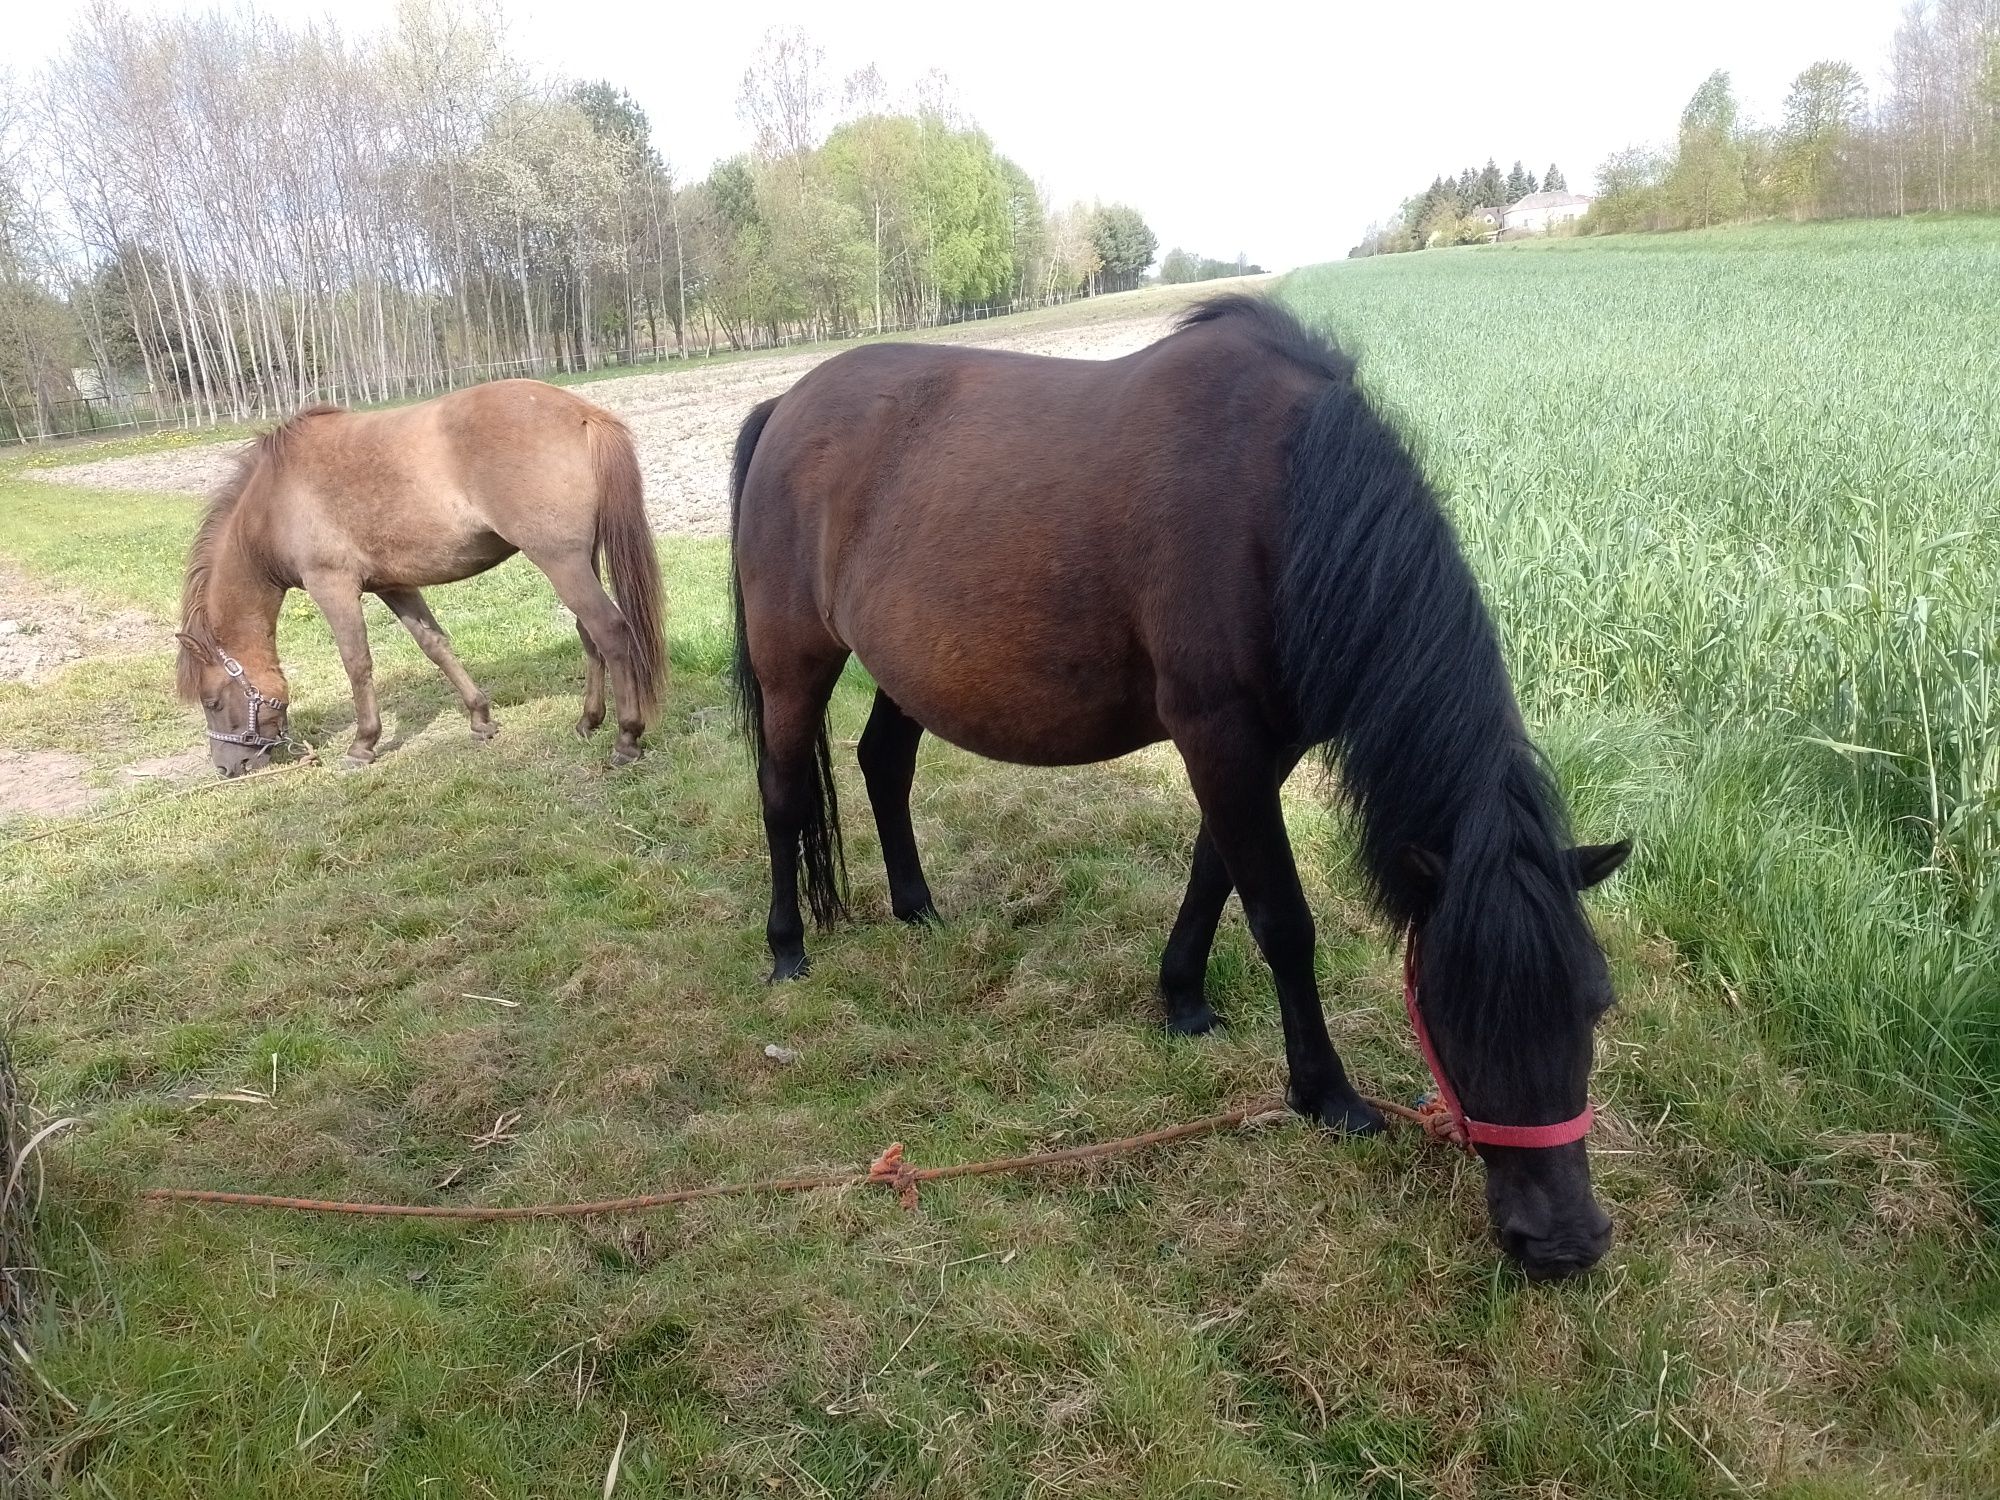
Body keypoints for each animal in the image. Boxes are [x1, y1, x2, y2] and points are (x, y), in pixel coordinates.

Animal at [179, 378, 668, 776]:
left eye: (212, 701)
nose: (225, 767)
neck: (272, 502)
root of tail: (583, 412)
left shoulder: (332, 586)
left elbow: (356, 662)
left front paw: (363, 745)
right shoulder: (394, 586)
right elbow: (435, 645)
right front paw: (480, 719)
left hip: (560, 561)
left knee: (610, 630)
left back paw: (626, 738)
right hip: (579, 561)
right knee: (589, 635)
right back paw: (588, 721)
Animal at [728, 296, 1632, 1280]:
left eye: (1596, 1002)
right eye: (1450, 1008)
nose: (1564, 1242)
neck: (1281, 501)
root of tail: (785, 404)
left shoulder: (1261, 745)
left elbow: (1214, 872)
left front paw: (1184, 1003)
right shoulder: (1220, 734)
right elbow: (1282, 919)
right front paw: (1327, 1095)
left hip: (909, 669)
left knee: (884, 765)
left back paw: (918, 908)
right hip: (793, 665)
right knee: (783, 795)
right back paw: (786, 950)